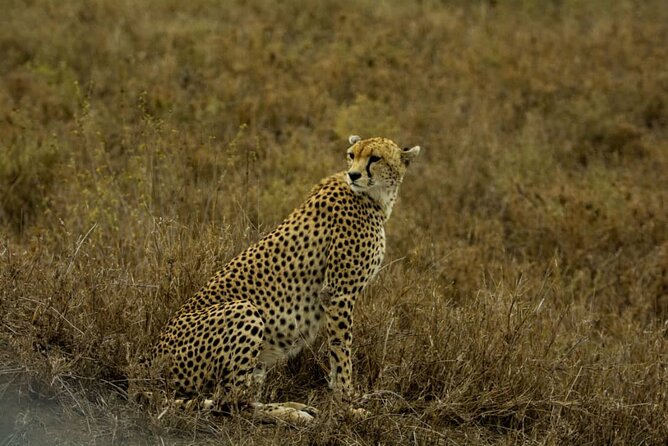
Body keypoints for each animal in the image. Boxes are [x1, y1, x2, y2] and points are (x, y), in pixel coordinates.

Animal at [151, 135, 420, 422]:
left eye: (375, 158)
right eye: (351, 155)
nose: (354, 174)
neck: (376, 197)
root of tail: (152, 361)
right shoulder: (338, 293)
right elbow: (341, 353)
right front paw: (347, 405)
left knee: (239, 397)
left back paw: (293, 407)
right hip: (244, 310)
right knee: (230, 402)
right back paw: (291, 414)